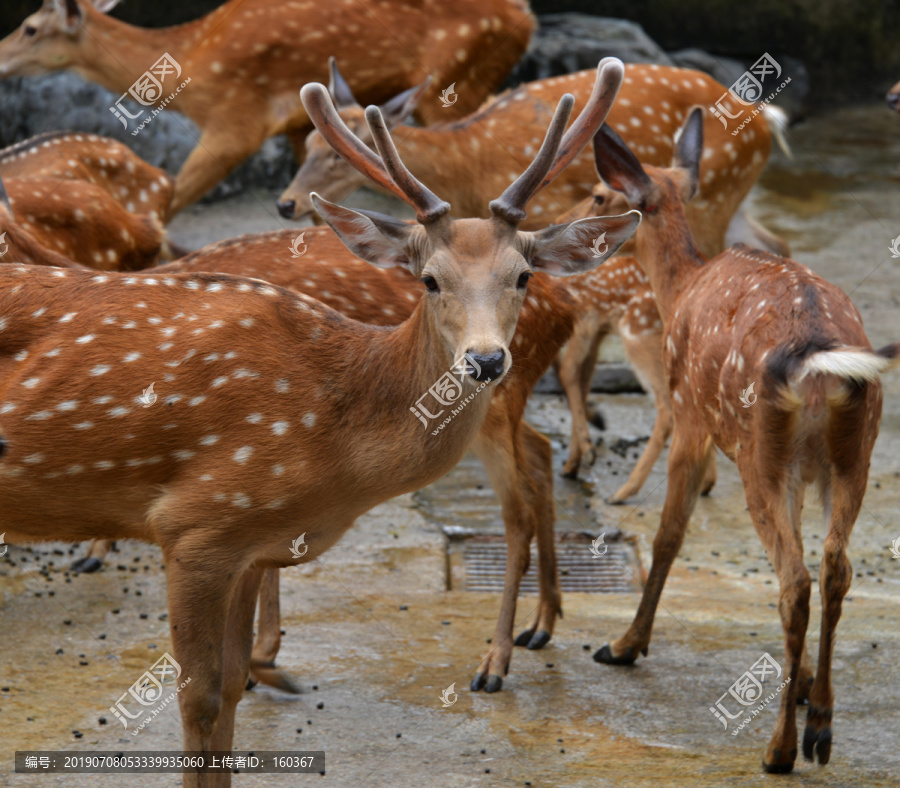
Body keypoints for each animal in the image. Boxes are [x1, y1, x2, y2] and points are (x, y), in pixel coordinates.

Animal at [0, 0, 536, 217]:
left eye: (30, 27)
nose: (0, 55)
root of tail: (526, 18)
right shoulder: (299, 126)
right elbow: (312, 205)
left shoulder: (236, 121)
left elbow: (170, 200)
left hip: (458, 79)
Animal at [1, 61, 648, 780]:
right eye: (429, 279)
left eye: (522, 275)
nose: (484, 359)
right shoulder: (196, 525)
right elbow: (201, 700)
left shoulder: (243, 539)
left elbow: (228, 690)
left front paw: (267, 671)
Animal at [276, 62, 788, 258]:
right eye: (308, 143)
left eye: (337, 157)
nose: (286, 203)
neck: (468, 167)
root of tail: (769, 122)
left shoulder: (543, 211)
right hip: (730, 199)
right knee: (772, 243)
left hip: (714, 202)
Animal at [588, 107, 896, 772]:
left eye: (599, 193)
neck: (680, 288)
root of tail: (820, 366)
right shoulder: (801, 474)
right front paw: (801, 683)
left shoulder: (689, 414)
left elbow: (669, 533)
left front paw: (624, 643)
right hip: (848, 456)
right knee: (833, 566)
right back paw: (820, 725)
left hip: (758, 451)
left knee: (795, 582)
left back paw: (779, 748)